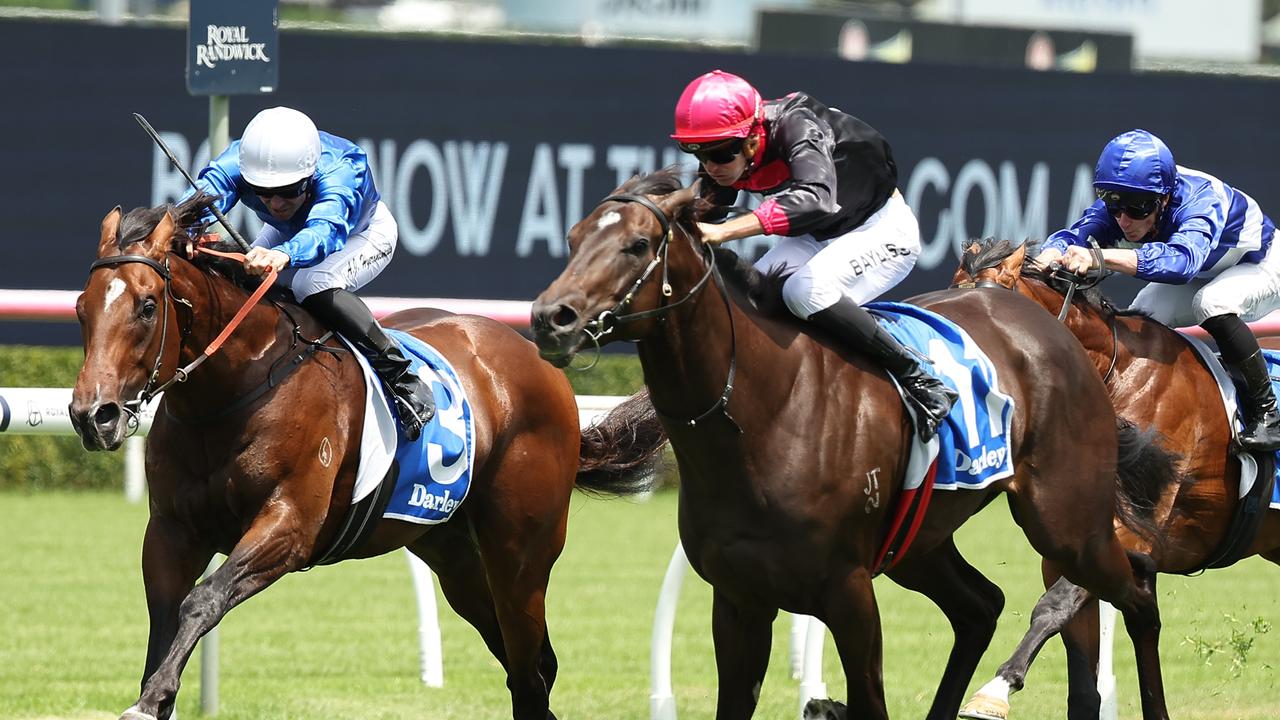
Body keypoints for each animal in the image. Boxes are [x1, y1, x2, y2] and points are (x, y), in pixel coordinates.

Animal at [67, 194, 660, 717]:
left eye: (147, 306)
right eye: (81, 308)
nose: (93, 415)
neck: (237, 387)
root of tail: (538, 360)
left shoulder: (289, 526)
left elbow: (203, 599)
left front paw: (148, 701)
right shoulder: (171, 531)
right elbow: (165, 620)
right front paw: (155, 694)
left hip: (521, 554)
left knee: (530, 671)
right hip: (452, 553)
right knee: (528, 664)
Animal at [527, 170, 1177, 717]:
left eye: (637, 245)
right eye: (573, 237)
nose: (550, 317)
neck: (762, 413)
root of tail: (1054, 328)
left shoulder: (848, 594)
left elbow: (868, 701)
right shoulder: (738, 599)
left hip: (1068, 525)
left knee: (1138, 592)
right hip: (921, 539)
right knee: (981, 606)